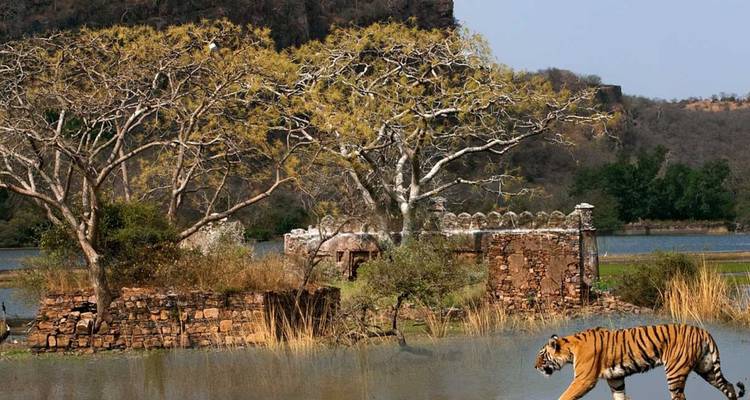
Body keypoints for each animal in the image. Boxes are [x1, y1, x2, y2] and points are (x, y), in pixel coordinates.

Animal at [534, 324, 745, 400]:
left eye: (542, 355)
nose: (534, 367)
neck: (570, 348)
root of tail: (704, 331)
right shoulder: (615, 379)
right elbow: (620, 397)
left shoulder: (584, 379)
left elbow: (565, 396)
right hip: (707, 368)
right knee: (728, 387)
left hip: (675, 373)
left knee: (680, 397)